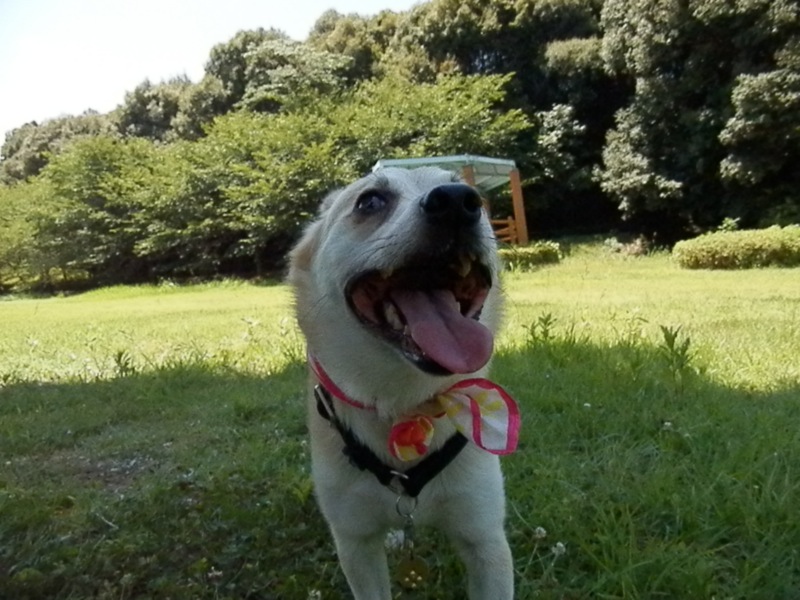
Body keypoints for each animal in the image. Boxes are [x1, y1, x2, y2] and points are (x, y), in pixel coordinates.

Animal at [288, 167, 518, 599]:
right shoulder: (355, 542)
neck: (409, 407)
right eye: (370, 201)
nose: (456, 200)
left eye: (477, 198)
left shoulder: (485, 540)